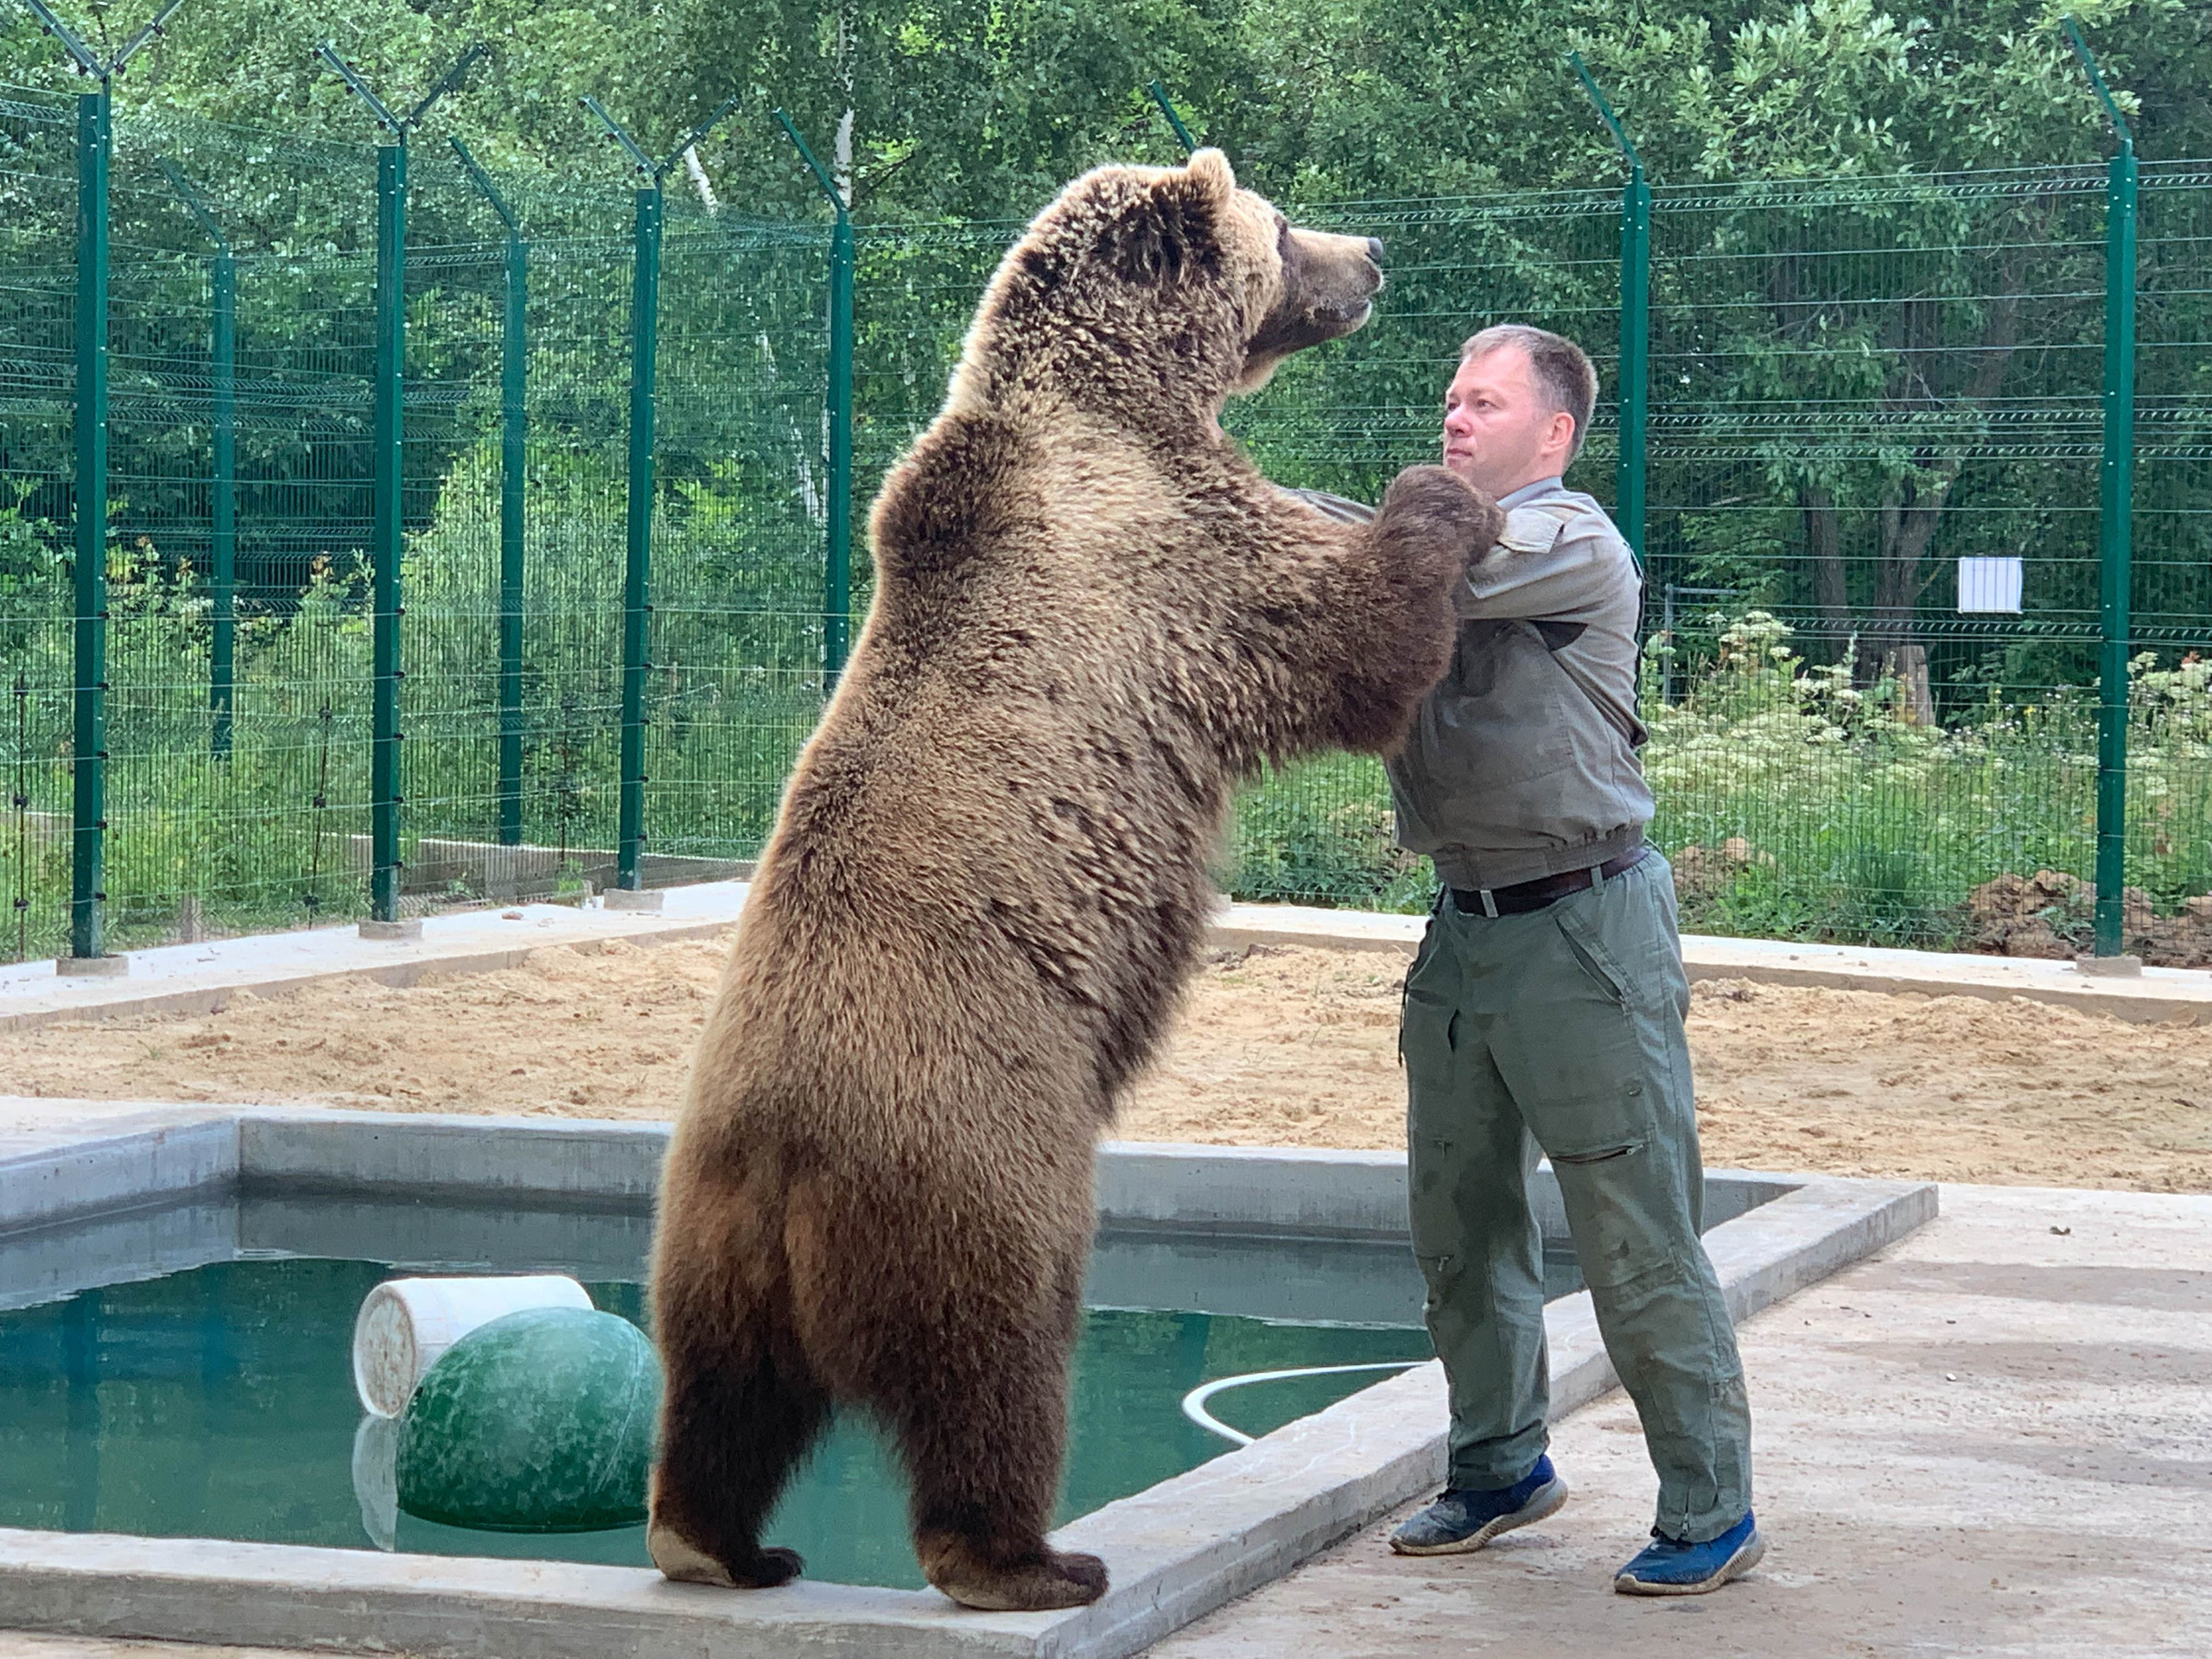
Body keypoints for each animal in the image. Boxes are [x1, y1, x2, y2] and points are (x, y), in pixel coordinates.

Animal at [647, 147, 1501, 1614]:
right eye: (1283, 225)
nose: (1377, 251)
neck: (1116, 394)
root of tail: (784, 1166)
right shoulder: (1174, 556)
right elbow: (1341, 634)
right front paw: (1425, 504)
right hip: (981, 1180)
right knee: (997, 1371)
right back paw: (1034, 1560)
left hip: (704, 1243)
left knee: (723, 1397)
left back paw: (720, 1544)